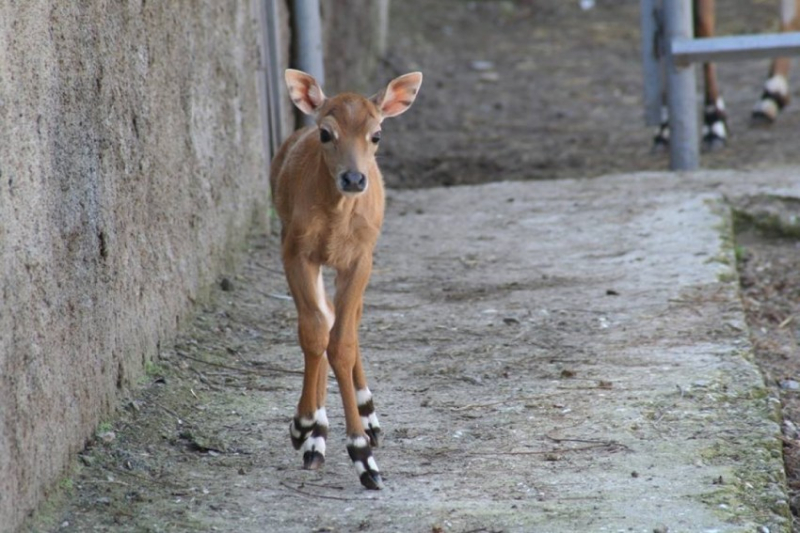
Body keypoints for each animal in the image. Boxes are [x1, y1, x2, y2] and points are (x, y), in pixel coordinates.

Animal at [268, 68, 422, 488]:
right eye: (326, 133)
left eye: (376, 134)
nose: (354, 179)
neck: (335, 220)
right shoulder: (295, 250)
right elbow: (314, 332)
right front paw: (304, 424)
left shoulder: (360, 258)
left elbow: (343, 341)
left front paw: (363, 455)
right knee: (326, 318)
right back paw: (316, 436)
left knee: (347, 322)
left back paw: (368, 415)